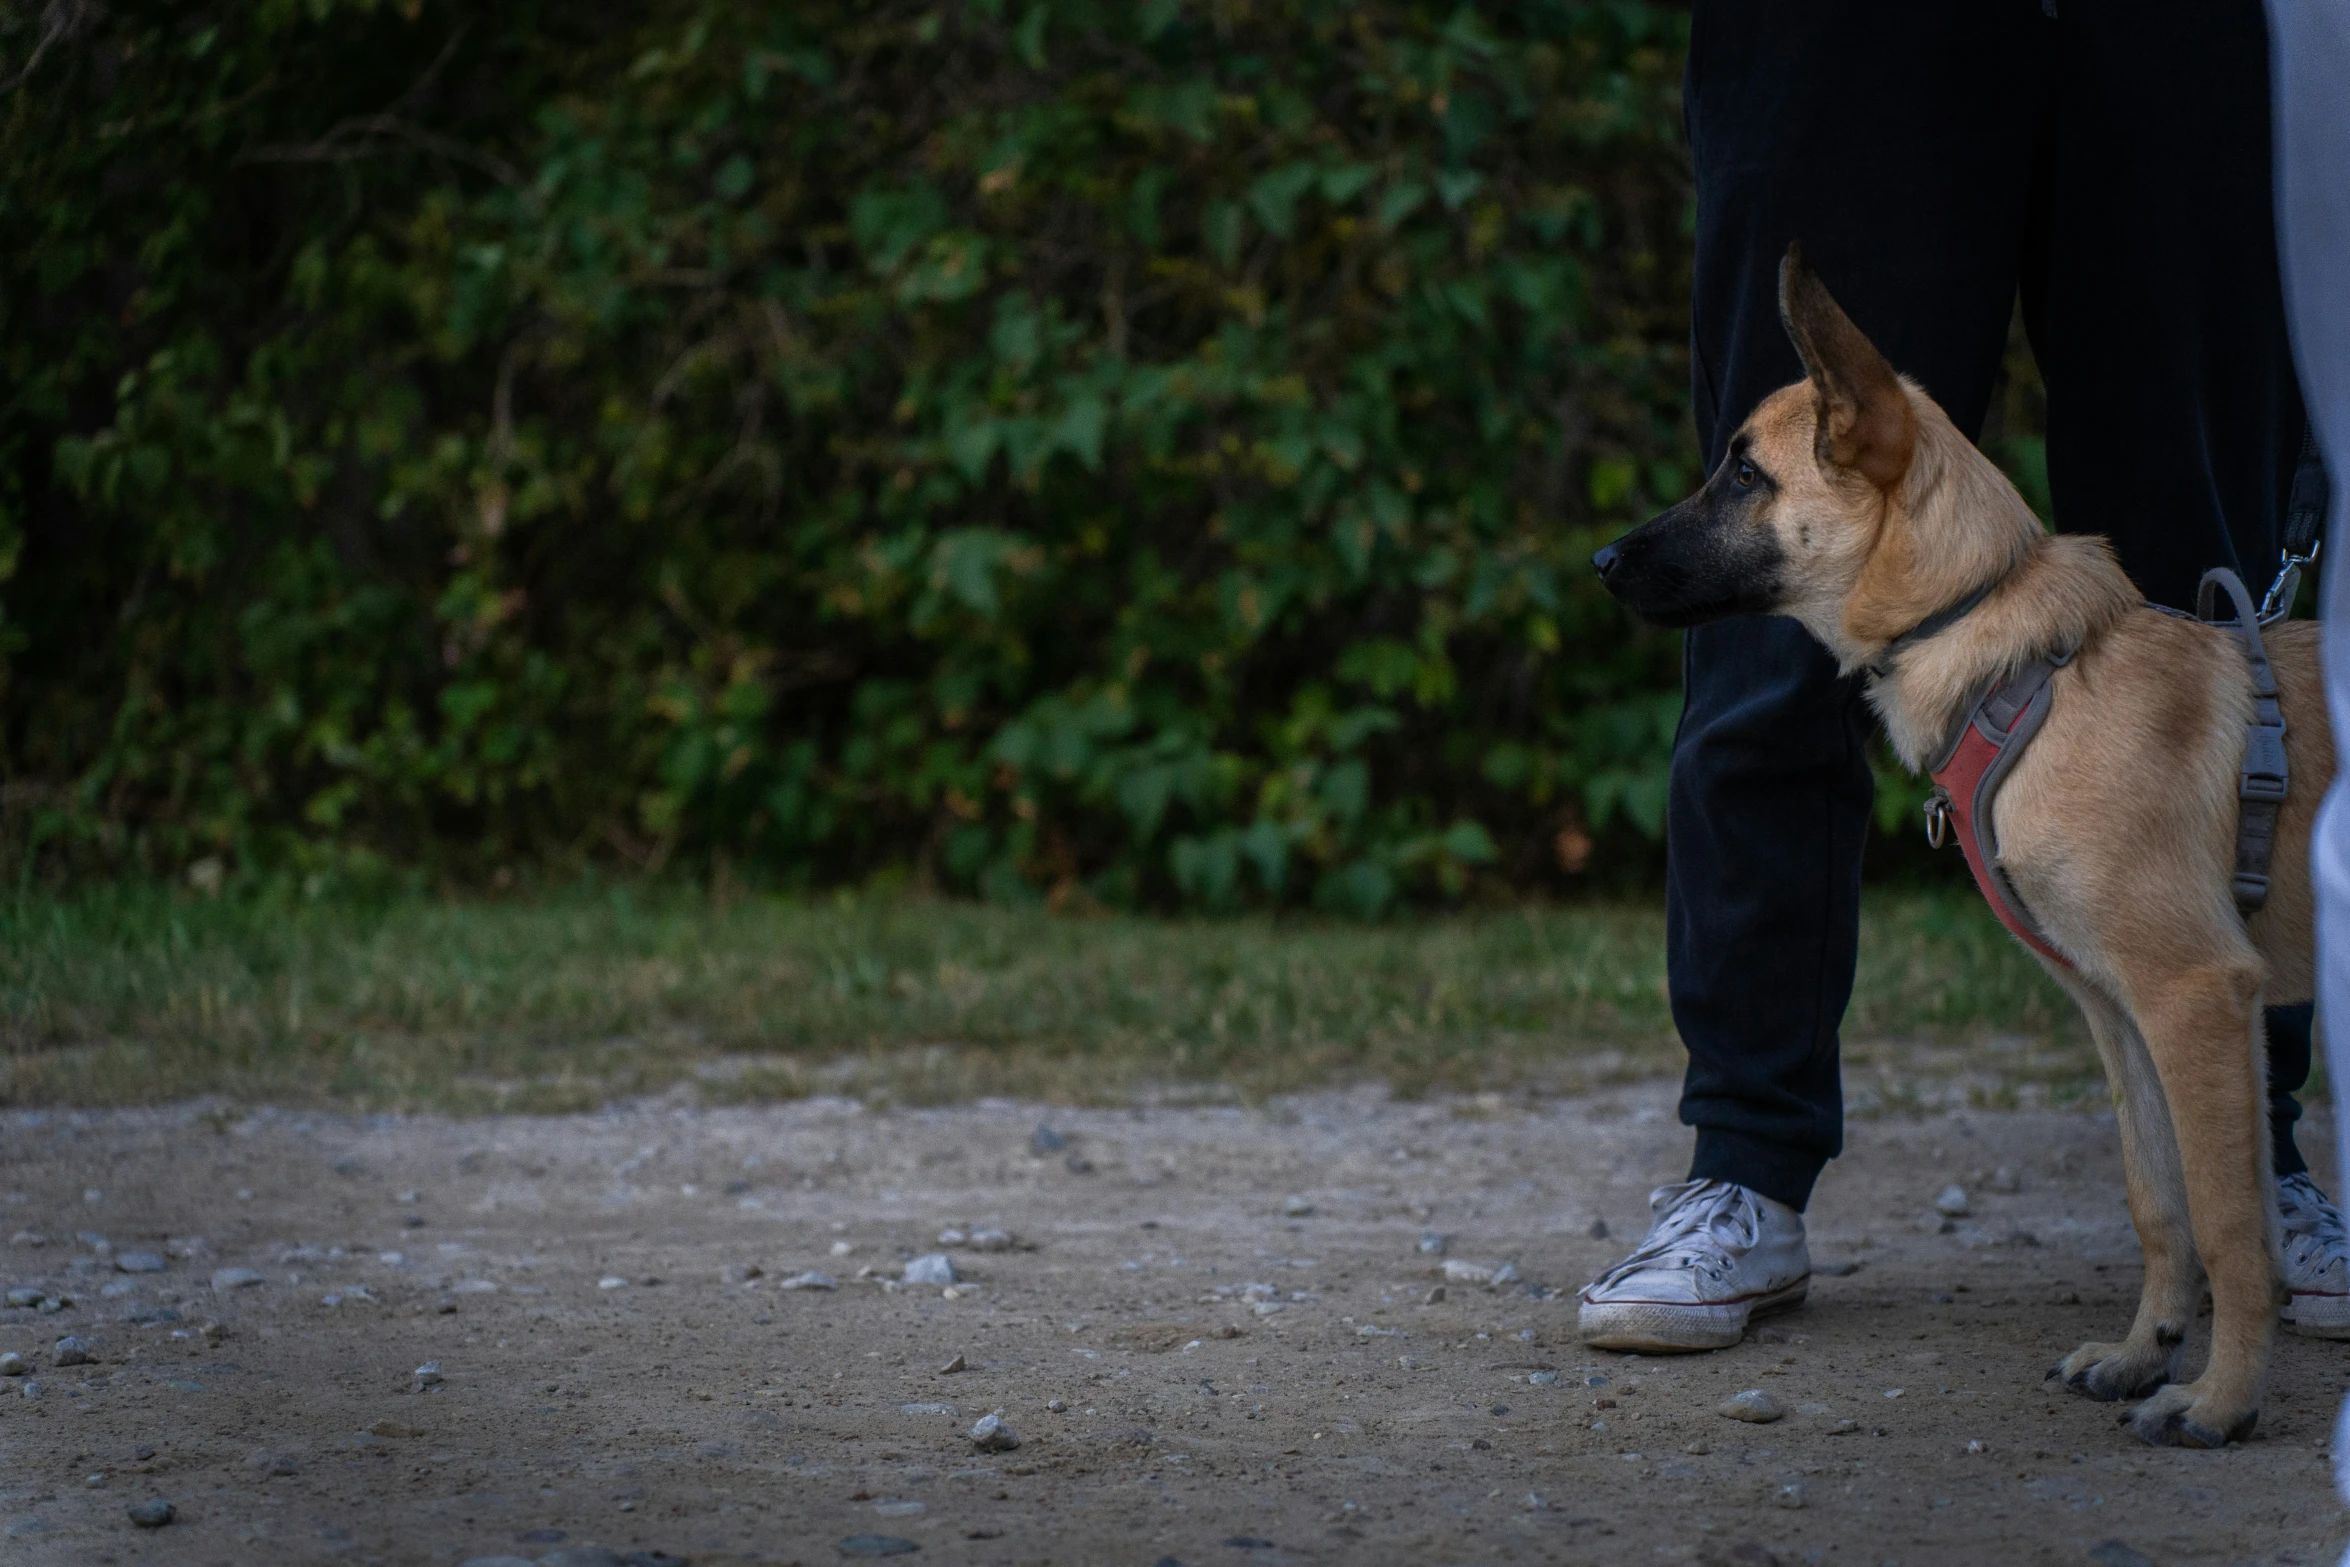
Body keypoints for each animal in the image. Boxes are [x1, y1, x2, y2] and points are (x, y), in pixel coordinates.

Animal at [1597, 247, 2331, 1456]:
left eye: (1744, 475)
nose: (1602, 558)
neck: (2017, 667)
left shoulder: (2192, 996)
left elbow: (2230, 1223)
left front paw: (2220, 1401)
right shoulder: (2121, 1014)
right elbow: (2160, 1200)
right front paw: (2144, 1350)